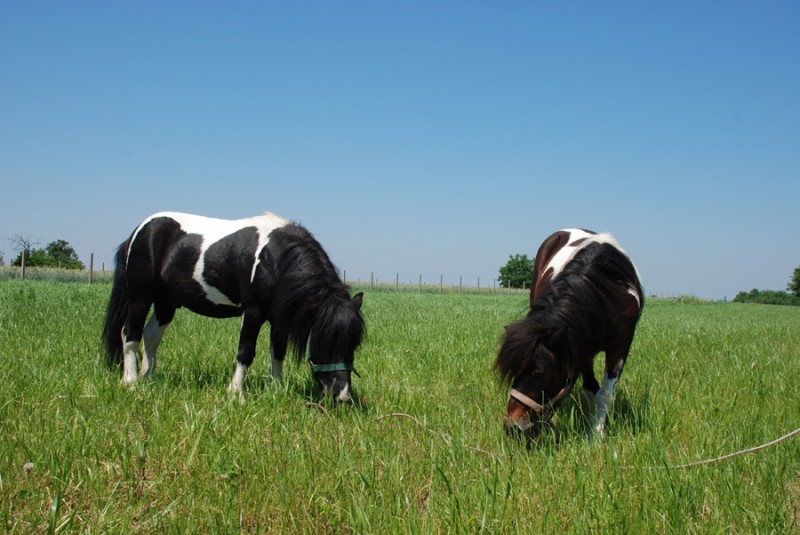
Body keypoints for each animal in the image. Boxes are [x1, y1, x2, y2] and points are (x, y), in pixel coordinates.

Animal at [102, 211, 365, 402]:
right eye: (324, 341)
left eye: (353, 344)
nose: (342, 397)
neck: (274, 259)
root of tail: (138, 232)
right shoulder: (253, 312)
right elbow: (245, 352)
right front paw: (236, 393)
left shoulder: (279, 319)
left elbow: (277, 353)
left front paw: (277, 389)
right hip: (140, 297)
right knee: (130, 333)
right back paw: (131, 382)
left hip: (166, 303)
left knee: (151, 336)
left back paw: (149, 378)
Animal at [494, 228, 643, 442]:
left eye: (539, 374)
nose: (512, 427)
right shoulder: (580, 347)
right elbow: (590, 387)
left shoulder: (620, 346)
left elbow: (604, 394)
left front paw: (596, 434)